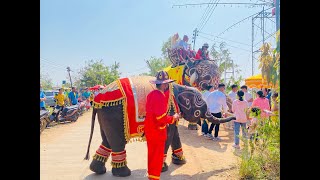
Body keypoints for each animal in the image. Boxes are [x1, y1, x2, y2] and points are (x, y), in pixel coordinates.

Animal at [85, 75, 235, 177]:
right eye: (199, 110)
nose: (234, 116)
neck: (179, 86)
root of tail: (97, 98)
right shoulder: (168, 108)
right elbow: (167, 135)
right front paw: (163, 169)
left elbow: (175, 134)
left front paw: (181, 162)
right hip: (113, 114)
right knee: (118, 141)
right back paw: (123, 174)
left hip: (105, 116)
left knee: (107, 141)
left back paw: (98, 170)